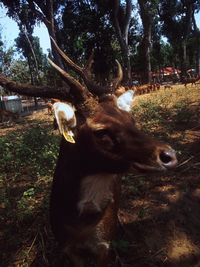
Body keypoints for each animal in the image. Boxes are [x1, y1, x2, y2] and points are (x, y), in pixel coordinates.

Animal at [0, 37, 178, 267]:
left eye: (132, 120)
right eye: (101, 131)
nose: (169, 155)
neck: (81, 225)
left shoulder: (104, 245)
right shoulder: (66, 246)